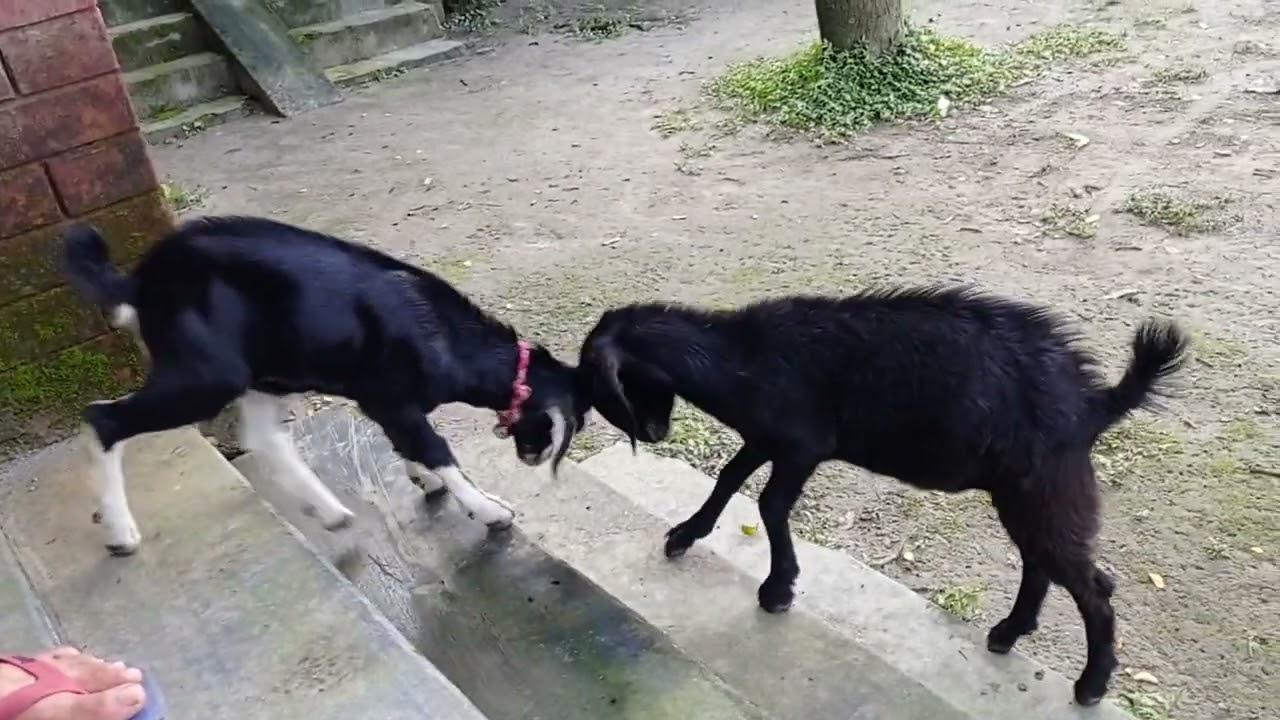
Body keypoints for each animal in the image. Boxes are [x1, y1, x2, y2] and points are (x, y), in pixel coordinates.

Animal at [62, 215, 588, 557]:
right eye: (566, 425)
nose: (533, 458)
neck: (443, 335)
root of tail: (141, 283)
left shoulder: (380, 401)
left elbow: (410, 445)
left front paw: (427, 480)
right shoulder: (388, 397)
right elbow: (433, 446)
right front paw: (489, 510)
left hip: (268, 374)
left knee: (264, 439)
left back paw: (332, 512)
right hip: (209, 375)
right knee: (103, 418)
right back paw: (120, 531)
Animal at [575, 286, 1189, 707]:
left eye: (603, 381)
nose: (654, 433)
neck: (744, 357)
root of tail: (1093, 403)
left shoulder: (801, 443)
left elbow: (770, 504)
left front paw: (778, 589)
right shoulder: (768, 436)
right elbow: (728, 478)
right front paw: (684, 534)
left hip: (1045, 489)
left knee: (1092, 584)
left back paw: (1091, 684)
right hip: (1024, 493)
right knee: (1039, 562)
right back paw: (1009, 632)